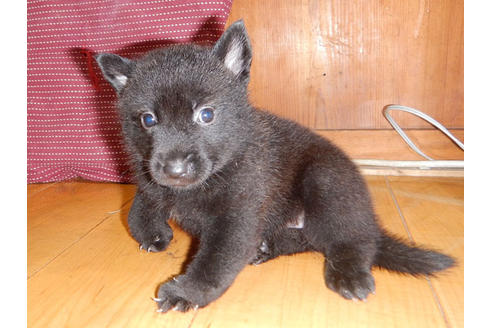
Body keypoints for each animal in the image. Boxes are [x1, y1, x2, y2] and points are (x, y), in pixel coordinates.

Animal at [96, 19, 454, 312]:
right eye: (148, 119)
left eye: (207, 114)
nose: (175, 171)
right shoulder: (150, 174)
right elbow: (140, 205)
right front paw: (154, 233)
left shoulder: (238, 215)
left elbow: (215, 261)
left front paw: (187, 293)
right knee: (309, 239)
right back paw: (267, 247)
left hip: (327, 182)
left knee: (352, 238)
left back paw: (350, 274)